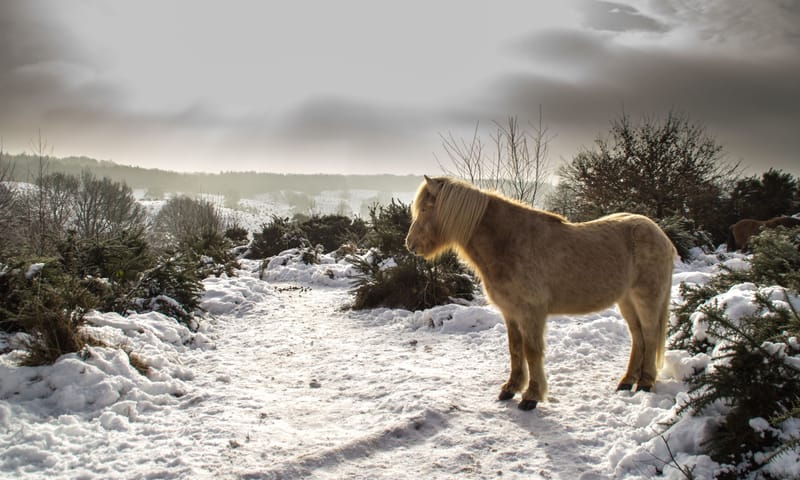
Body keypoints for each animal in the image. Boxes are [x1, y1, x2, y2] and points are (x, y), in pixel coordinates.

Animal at [405, 176, 675, 411]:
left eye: (427, 209)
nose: (410, 244)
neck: (509, 242)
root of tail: (661, 235)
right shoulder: (511, 313)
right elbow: (515, 349)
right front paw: (510, 388)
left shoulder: (531, 313)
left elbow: (532, 352)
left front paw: (531, 396)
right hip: (626, 300)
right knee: (638, 337)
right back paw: (627, 381)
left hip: (646, 298)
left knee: (650, 335)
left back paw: (645, 383)